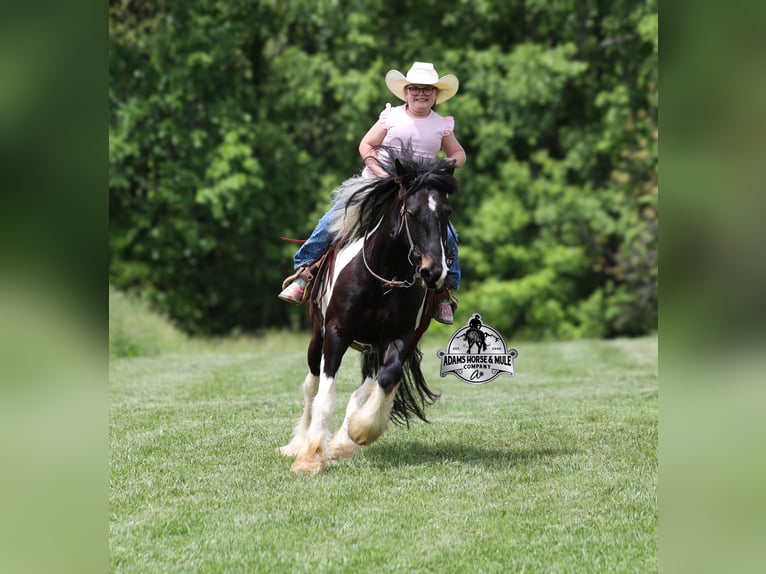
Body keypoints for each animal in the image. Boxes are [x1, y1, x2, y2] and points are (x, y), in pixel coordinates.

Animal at [279, 147, 459, 474]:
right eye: (410, 212)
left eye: (446, 213)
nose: (434, 272)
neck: (383, 277)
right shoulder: (336, 332)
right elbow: (325, 394)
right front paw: (309, 458)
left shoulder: (400, 337)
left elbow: (386, 379)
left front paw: (361, 431)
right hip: (317, 336)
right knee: (312, 386)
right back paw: (298, 444)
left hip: (377, 346)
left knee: (366, 387)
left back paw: (341, 442)